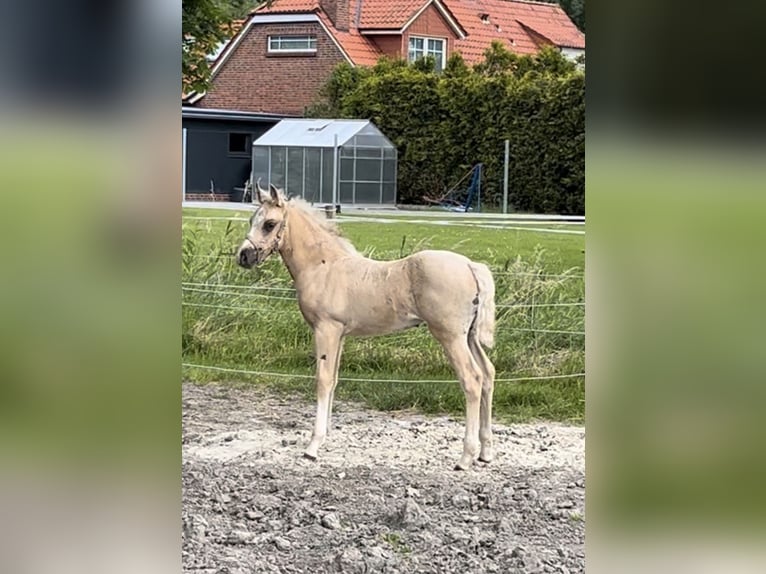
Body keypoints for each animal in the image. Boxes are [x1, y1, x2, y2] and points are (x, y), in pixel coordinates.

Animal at [237, 186, 498, 472]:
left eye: (270, 224)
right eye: (251, 220)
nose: (244, 256)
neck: (324, 267)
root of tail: (471, 266)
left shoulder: (326, 330)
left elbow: (323, 380)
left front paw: (313, 447)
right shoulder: (339, 335)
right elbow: (334, 380)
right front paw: (326, 437)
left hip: (450, 337)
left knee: (472, 379)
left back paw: (465, 457)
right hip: (469, 336)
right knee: (488, 374)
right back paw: (485, 452)